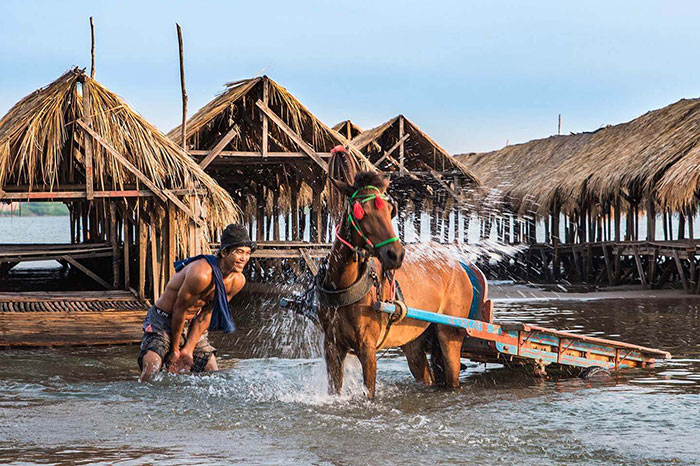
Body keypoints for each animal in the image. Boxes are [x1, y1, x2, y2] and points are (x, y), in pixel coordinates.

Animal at [318, 148, 476, 396]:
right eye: (360, 211)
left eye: (390, 210)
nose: (396, 254)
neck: (344, 284)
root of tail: (458, 265)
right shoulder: (332, 346)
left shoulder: (367, 348)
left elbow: (370, 393)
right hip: (415, 339)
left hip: (451, 332)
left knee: (452, 373)